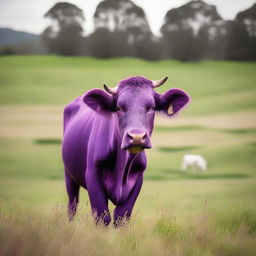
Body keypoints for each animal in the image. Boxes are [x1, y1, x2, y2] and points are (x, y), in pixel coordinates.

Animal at [62, 76, 190, 226]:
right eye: (119, 107)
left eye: (152, 107)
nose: (136, 137)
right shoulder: (93, 176)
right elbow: (102, 218)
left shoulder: (138, 180)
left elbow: (121, 218)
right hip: (69, 174)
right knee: (72, 204)